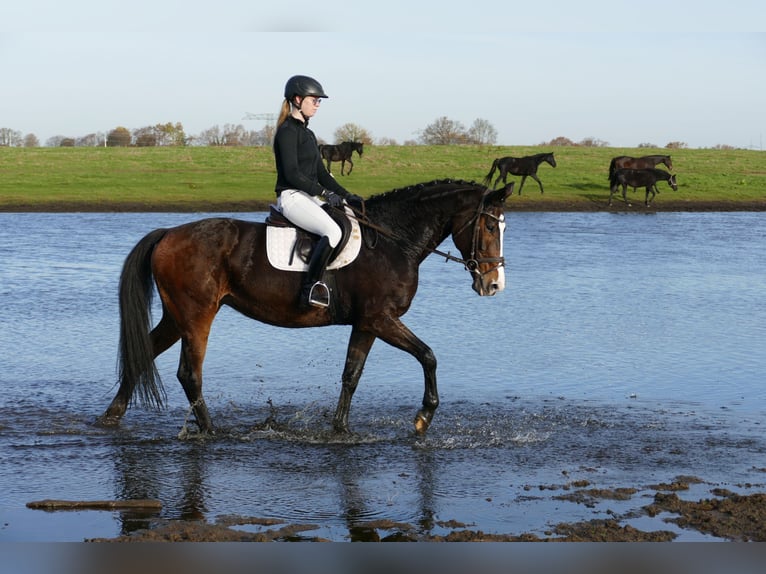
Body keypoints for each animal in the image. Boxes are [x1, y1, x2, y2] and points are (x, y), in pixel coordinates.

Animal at [98, 179, 514, 437]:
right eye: (489, 227)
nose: (493, 285)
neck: (392, 243)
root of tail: (168, 234)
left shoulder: (367, 323)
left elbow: (351, 375)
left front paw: (340, 430)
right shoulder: (381, 319)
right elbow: (428, 355)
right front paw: (423, 418)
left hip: (177, 317)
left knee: (144, 354)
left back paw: (112, 416)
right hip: (198, 316)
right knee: (189, 374)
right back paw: (212, 431)